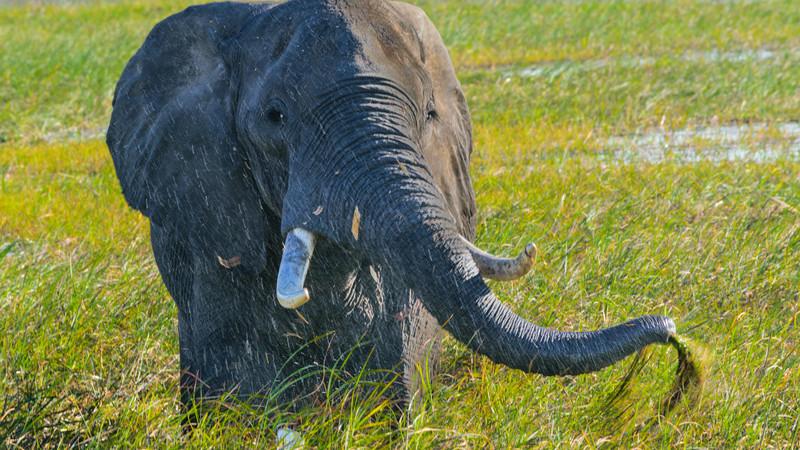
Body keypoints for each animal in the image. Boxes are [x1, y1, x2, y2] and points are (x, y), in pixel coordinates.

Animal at [106, 0, 680, 412]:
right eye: (275, 117)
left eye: (428, 113)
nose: (672, 331)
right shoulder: (207, 195)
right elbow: (233, 354)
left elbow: (400, 334)